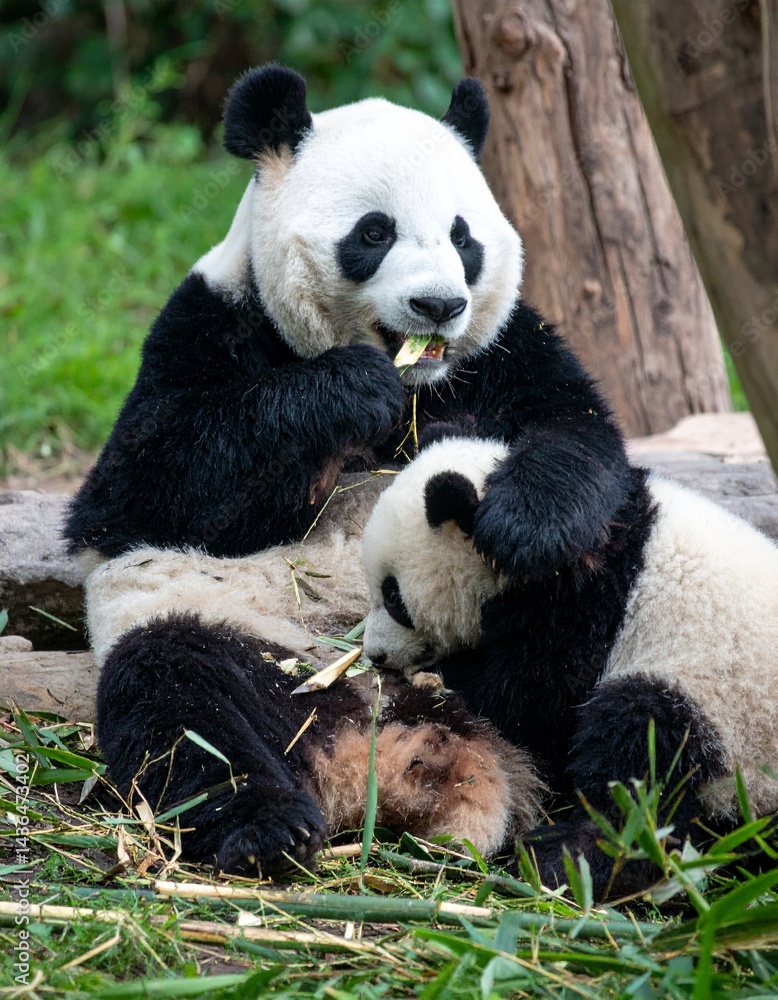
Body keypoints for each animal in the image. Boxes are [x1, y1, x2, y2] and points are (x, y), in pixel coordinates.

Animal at [64, 64, 630, 876]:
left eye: (463, 237)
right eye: (374, 232)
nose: (439, 304)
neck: (421, 385)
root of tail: (390, 739)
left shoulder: (511, 349)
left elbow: (579, 438)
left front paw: (522, 521)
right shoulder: (207, 325)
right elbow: (135, 492)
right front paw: (351, 389)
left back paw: (586, 843)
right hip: (238, 638)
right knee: (179, 706)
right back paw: (268, 827)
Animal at [362, 432, 778, 898]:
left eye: (393, 597)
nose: (374, 653)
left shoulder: (580, 605)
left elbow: (527, 699)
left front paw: (445, 678)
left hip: (729, 719)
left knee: (642, 754)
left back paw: (562, 857)